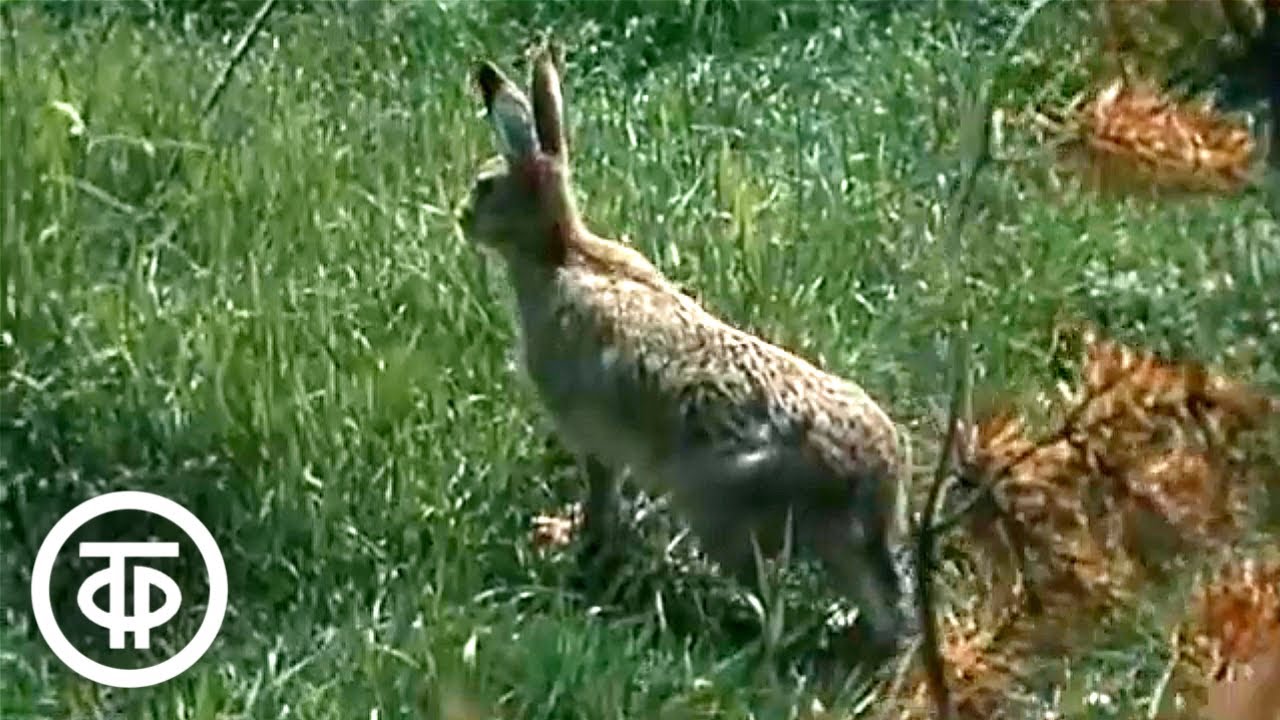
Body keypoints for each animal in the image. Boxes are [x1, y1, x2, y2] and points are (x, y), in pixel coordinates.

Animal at [456, 46, 914, 661]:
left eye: (485, 185)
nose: (462, 217)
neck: (560, 252)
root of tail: (872, 480)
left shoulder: (592, 439)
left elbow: (602, 492)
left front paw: (582, 545)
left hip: (724, 509)